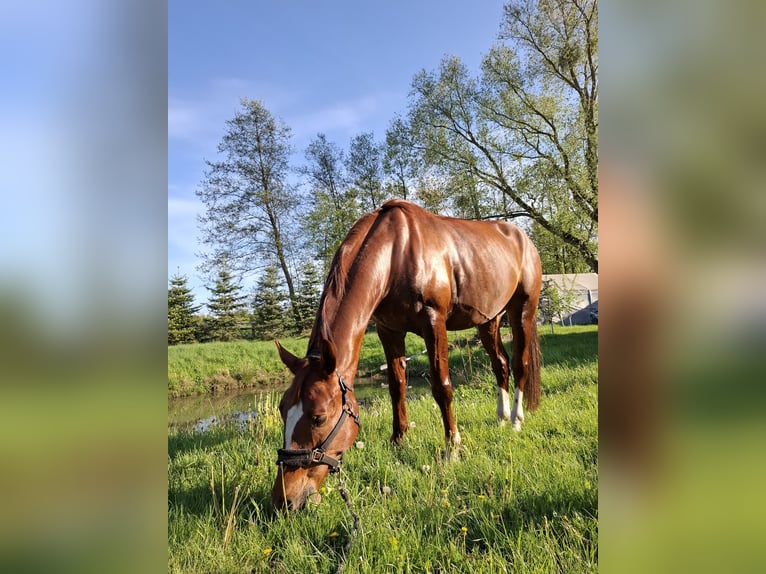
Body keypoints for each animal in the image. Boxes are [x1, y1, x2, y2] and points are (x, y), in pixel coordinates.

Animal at [272, 199, 542, 511]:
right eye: (282, 409)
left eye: (318, 418)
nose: (284, 499)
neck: (395, 254)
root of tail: (524, 240)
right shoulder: (389, 330)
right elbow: (396, 387)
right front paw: (398, 441)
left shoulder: (433, 321)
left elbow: (441, 387)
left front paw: (452, 449)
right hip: (489, 320)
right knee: (501, 365)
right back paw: (501, 417)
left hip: (523, 310)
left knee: (520, 364)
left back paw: (516, 421)